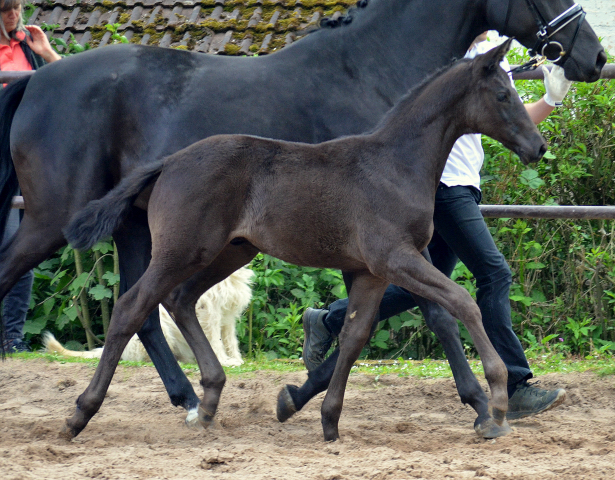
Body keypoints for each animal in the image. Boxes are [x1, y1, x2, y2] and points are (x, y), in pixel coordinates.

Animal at [44, 266, 254, 368]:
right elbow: (215, 341)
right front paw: (225, 361)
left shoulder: (227, 316)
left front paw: (236, 358)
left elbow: (230, 341)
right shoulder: (208, 311)